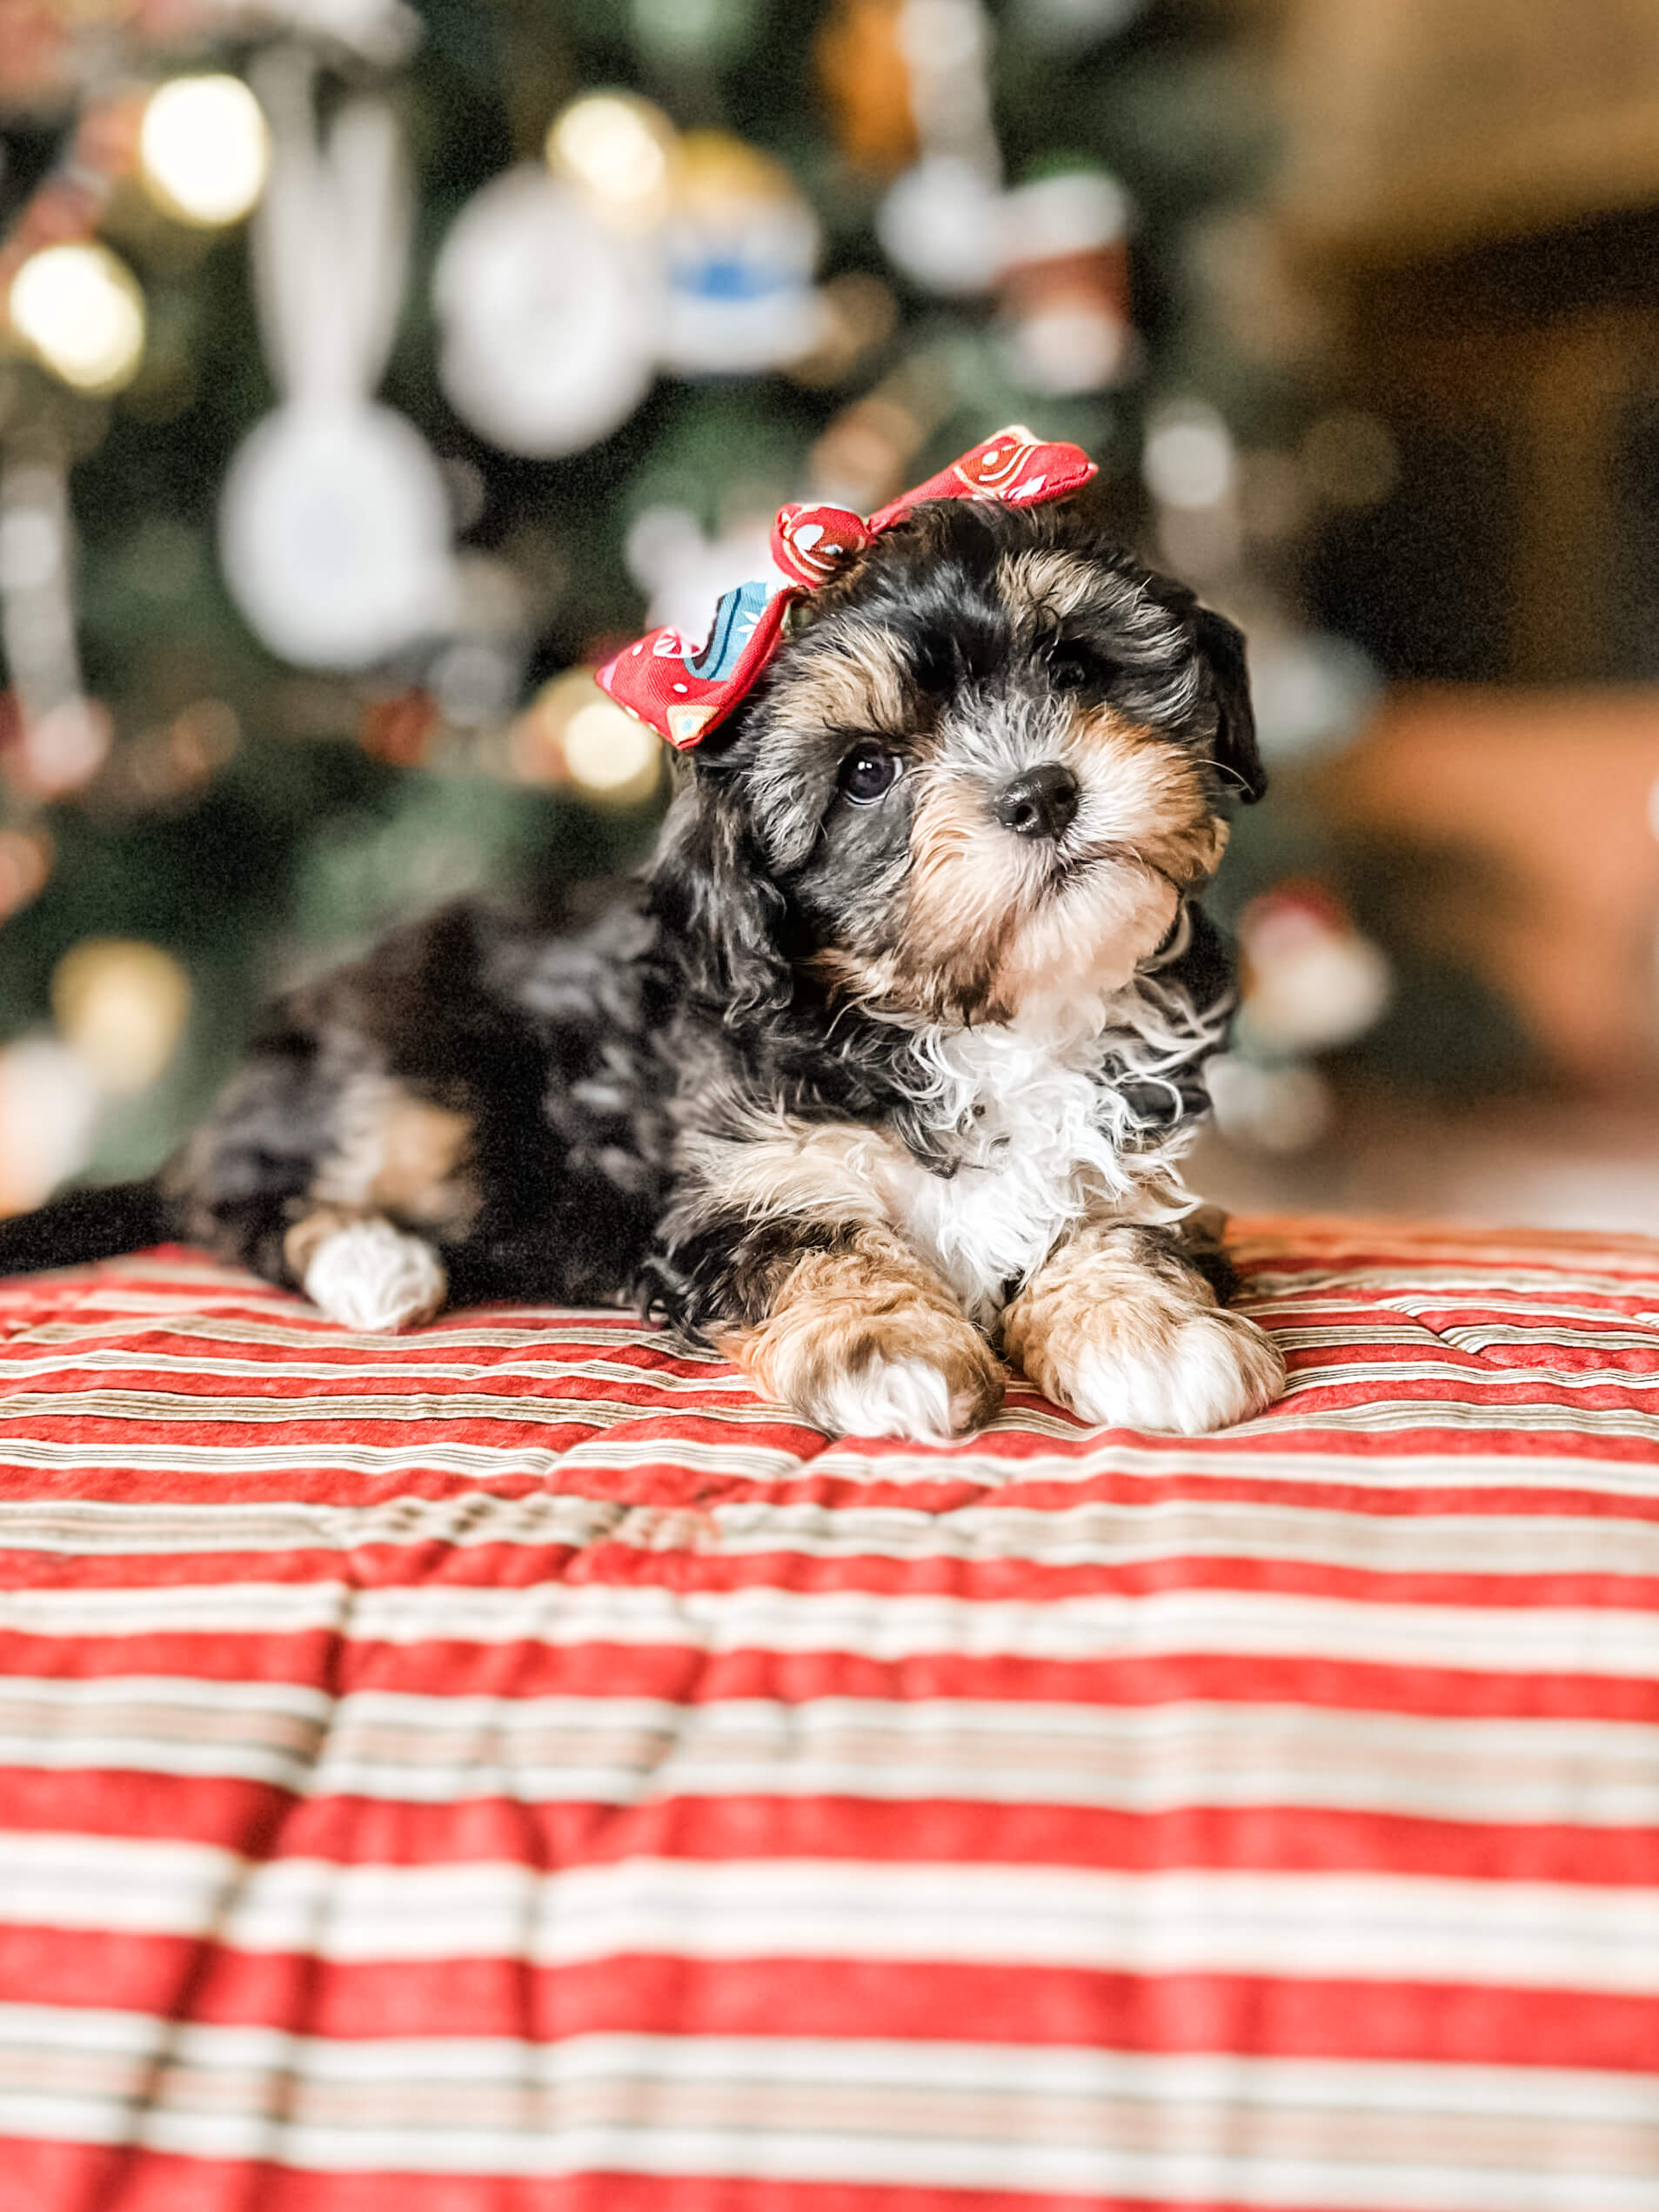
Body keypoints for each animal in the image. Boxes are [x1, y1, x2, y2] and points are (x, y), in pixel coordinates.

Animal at [0, 493, 1282, 1442]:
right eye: (867, 772)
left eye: (1075, 668)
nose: (1038, 792)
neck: (977, 1022)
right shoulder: (727, 1181)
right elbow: (809, 1241)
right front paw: (889, 1349)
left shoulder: (1130, 1157)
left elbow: (1117, 1224)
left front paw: (1152, 1333)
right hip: (413, 1080)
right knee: (231, 1197)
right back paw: (374, 1260)